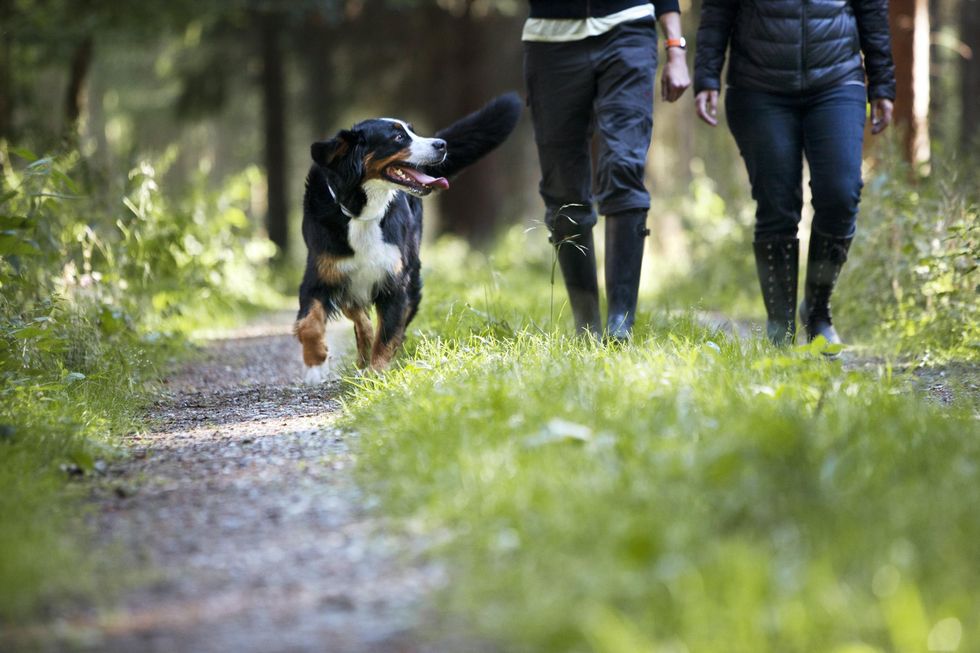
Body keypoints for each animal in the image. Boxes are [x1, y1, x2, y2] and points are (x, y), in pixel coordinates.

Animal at [294, 91, 524, 382]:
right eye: (398, 137)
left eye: (412, 131)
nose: (442, 144)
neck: (362, 212)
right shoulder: (320, 273)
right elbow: (309, 323)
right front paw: (315, 362)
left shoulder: (396, 280)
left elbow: (388, 332)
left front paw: (377, 376)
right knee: (356, 312)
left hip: (412, 273)